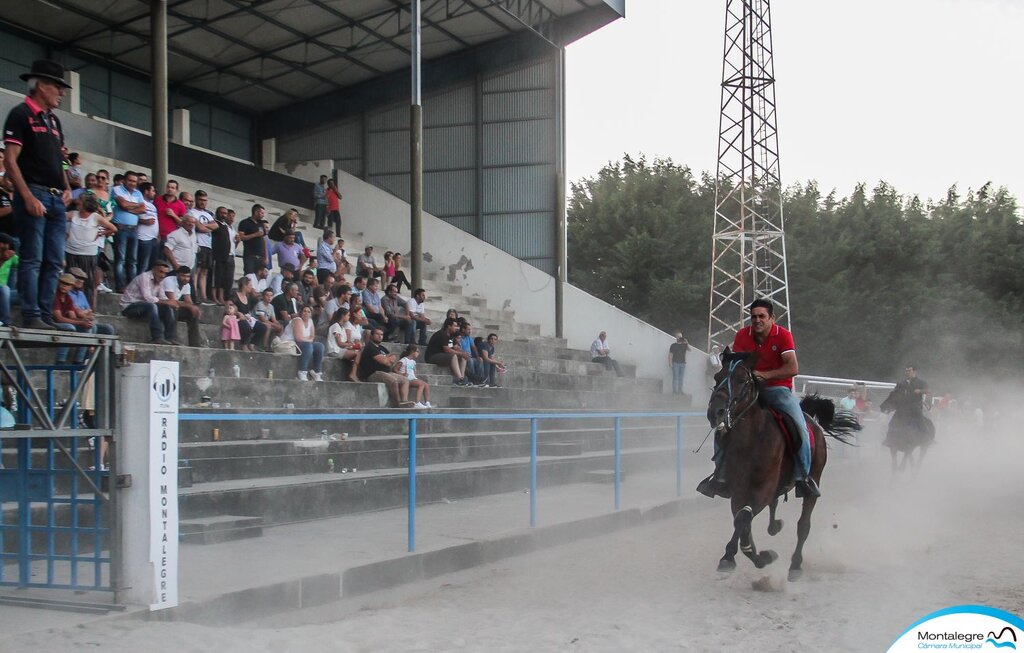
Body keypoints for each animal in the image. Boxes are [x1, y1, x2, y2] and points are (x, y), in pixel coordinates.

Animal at [708, 350, 860, 581]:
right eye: (717, 377)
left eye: (742, 379)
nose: (715, 412)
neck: (752, 438)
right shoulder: (738, 489)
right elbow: (741, 520)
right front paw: (735, 556)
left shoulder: (763, 487)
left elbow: (743, 518)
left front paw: (757, 556)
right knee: (772, 506)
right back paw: (774, 526)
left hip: (812, 482)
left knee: (803, 525)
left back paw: (795, 565)